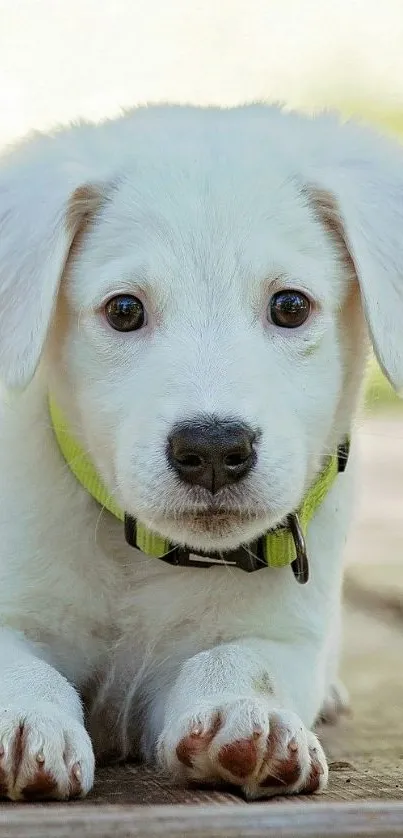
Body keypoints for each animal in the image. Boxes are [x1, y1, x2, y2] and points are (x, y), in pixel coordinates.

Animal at [0, 105, 402, 800]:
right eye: (124, 310)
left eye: (290, 306)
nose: (213, 449)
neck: (145, 556)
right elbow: (22, 665)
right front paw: (25, 719)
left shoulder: (284, 634)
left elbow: (238, 657)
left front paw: (247, 712)